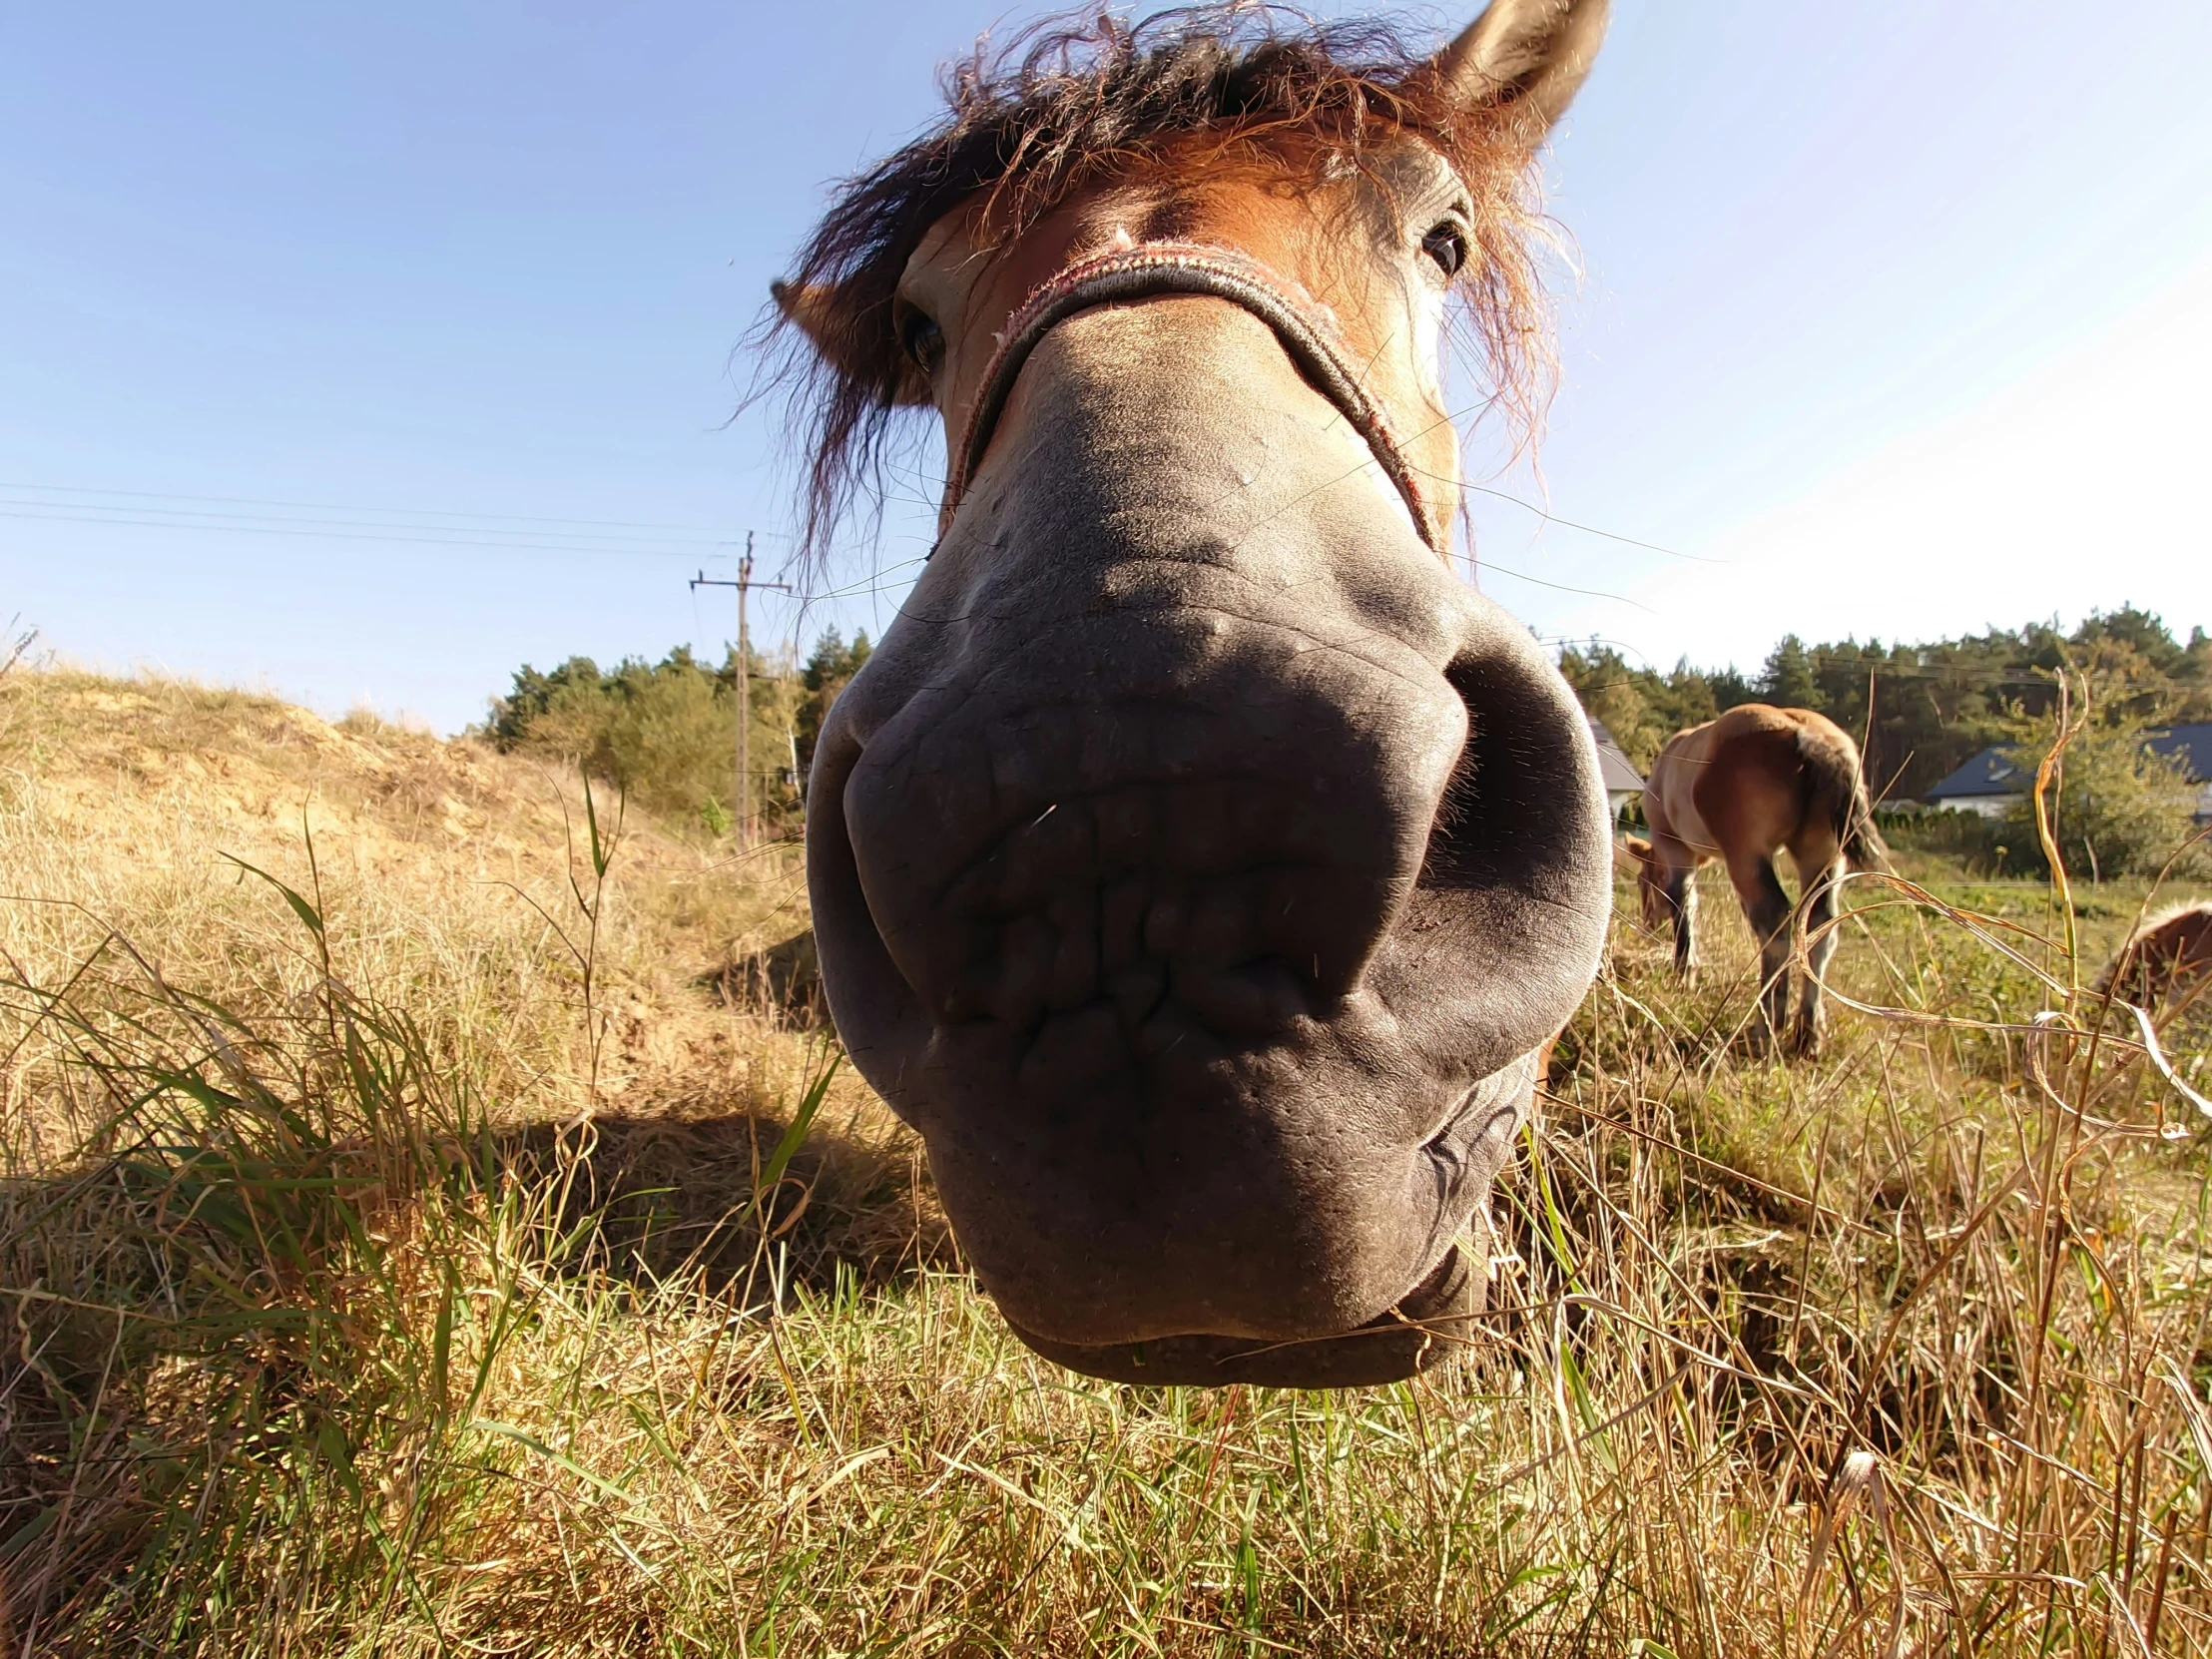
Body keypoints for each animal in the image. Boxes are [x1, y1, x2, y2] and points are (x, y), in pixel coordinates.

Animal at [1627, 708, 1885, 1057]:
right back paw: (1809, 1034)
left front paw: (1684, 973)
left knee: (1774, 923)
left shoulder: (1675, 847)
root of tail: (1809, 736)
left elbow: (1684, 903)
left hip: (1746, 854)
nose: (1646, 927)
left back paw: (1766, 1026)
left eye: (1643, 882)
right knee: (1820, 926)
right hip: (1822, 853)